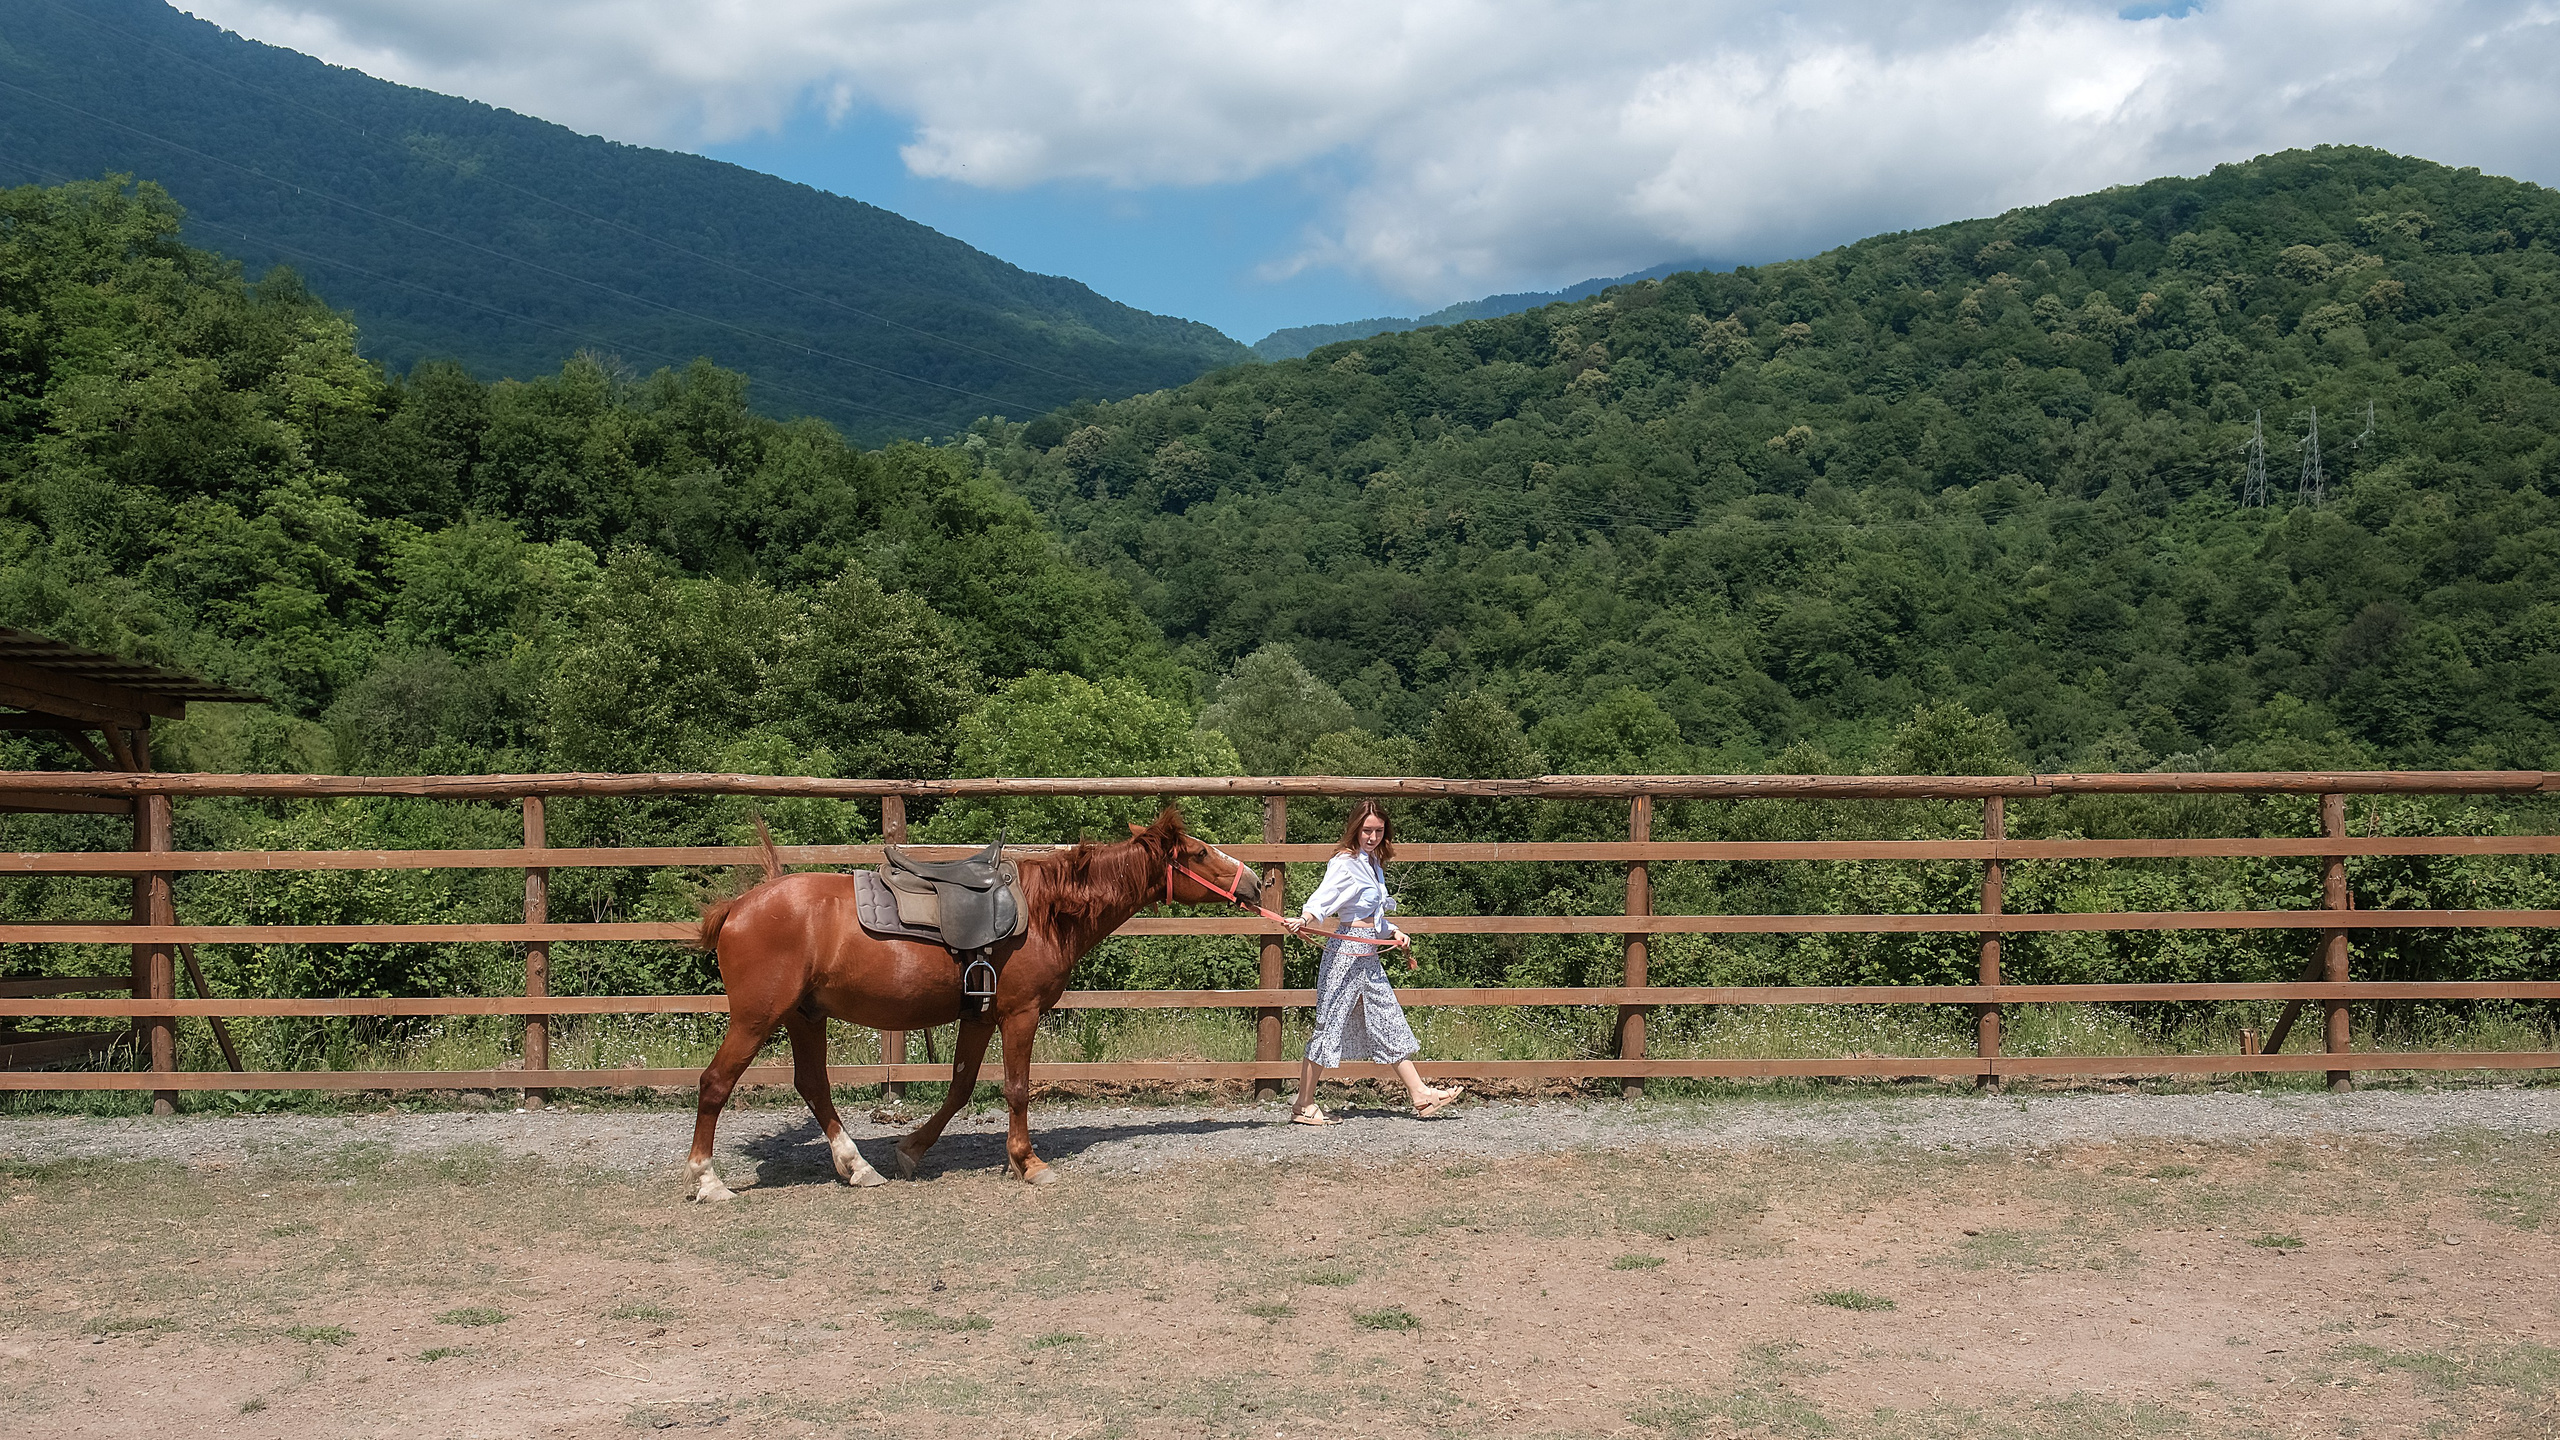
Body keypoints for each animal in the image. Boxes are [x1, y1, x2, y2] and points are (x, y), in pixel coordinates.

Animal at [684, 806, 1260, 1200]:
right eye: (1200, 853)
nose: (1255, 882)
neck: (1049, 910)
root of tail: (740, 905)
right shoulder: (1020, 1014)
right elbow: (1017, 1089)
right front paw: (1029, 1164)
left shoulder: (980, 1017)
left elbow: (960, 1087)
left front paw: (910, 1150)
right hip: (757, 1018)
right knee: (715, 1083)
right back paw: (708, 1179)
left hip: (805, 1016)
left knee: (813, 1086)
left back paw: (859, 1167)